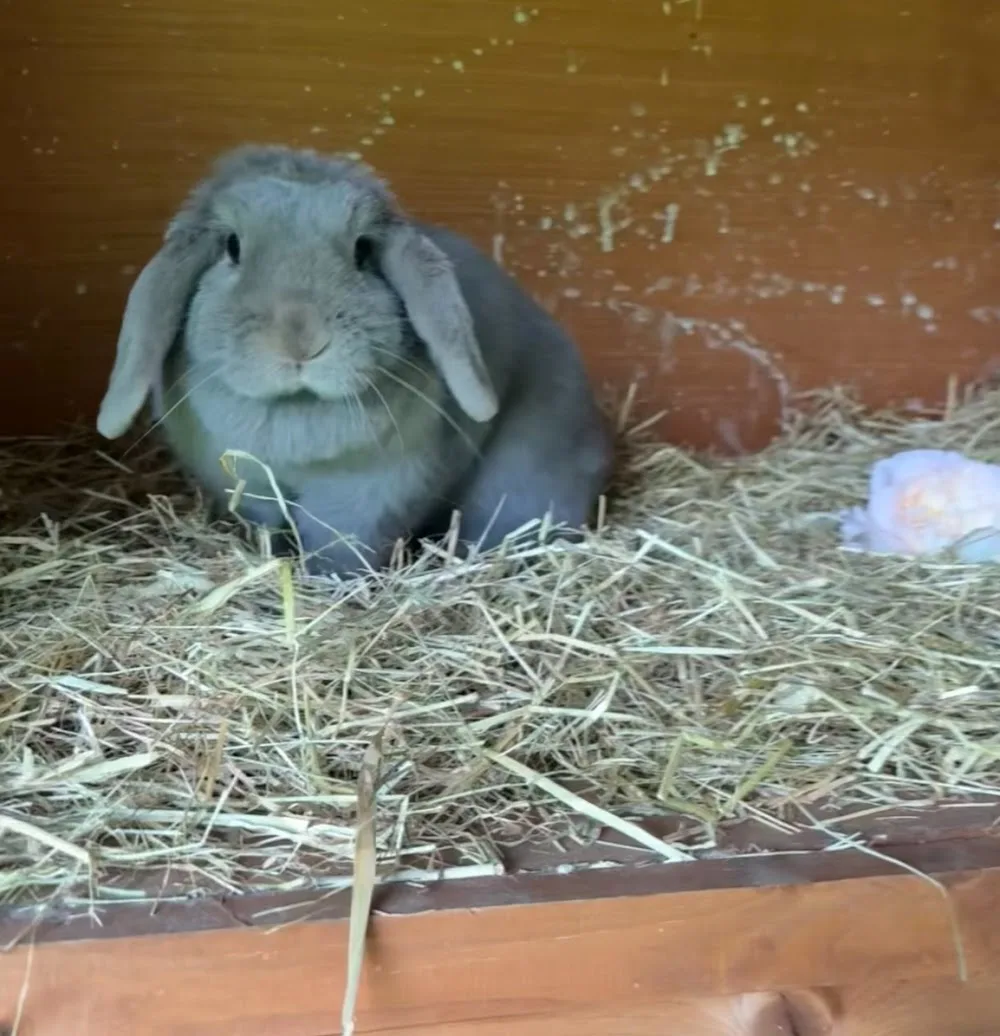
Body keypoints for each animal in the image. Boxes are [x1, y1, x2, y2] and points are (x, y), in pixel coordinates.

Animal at [97, 144, 614, 577]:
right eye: (232, 247)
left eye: (362, 250)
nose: (301, 338)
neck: (295, 414)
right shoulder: (248, 486)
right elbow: (269, 528)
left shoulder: (370, 492)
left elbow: (340, 543)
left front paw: (330, 583)